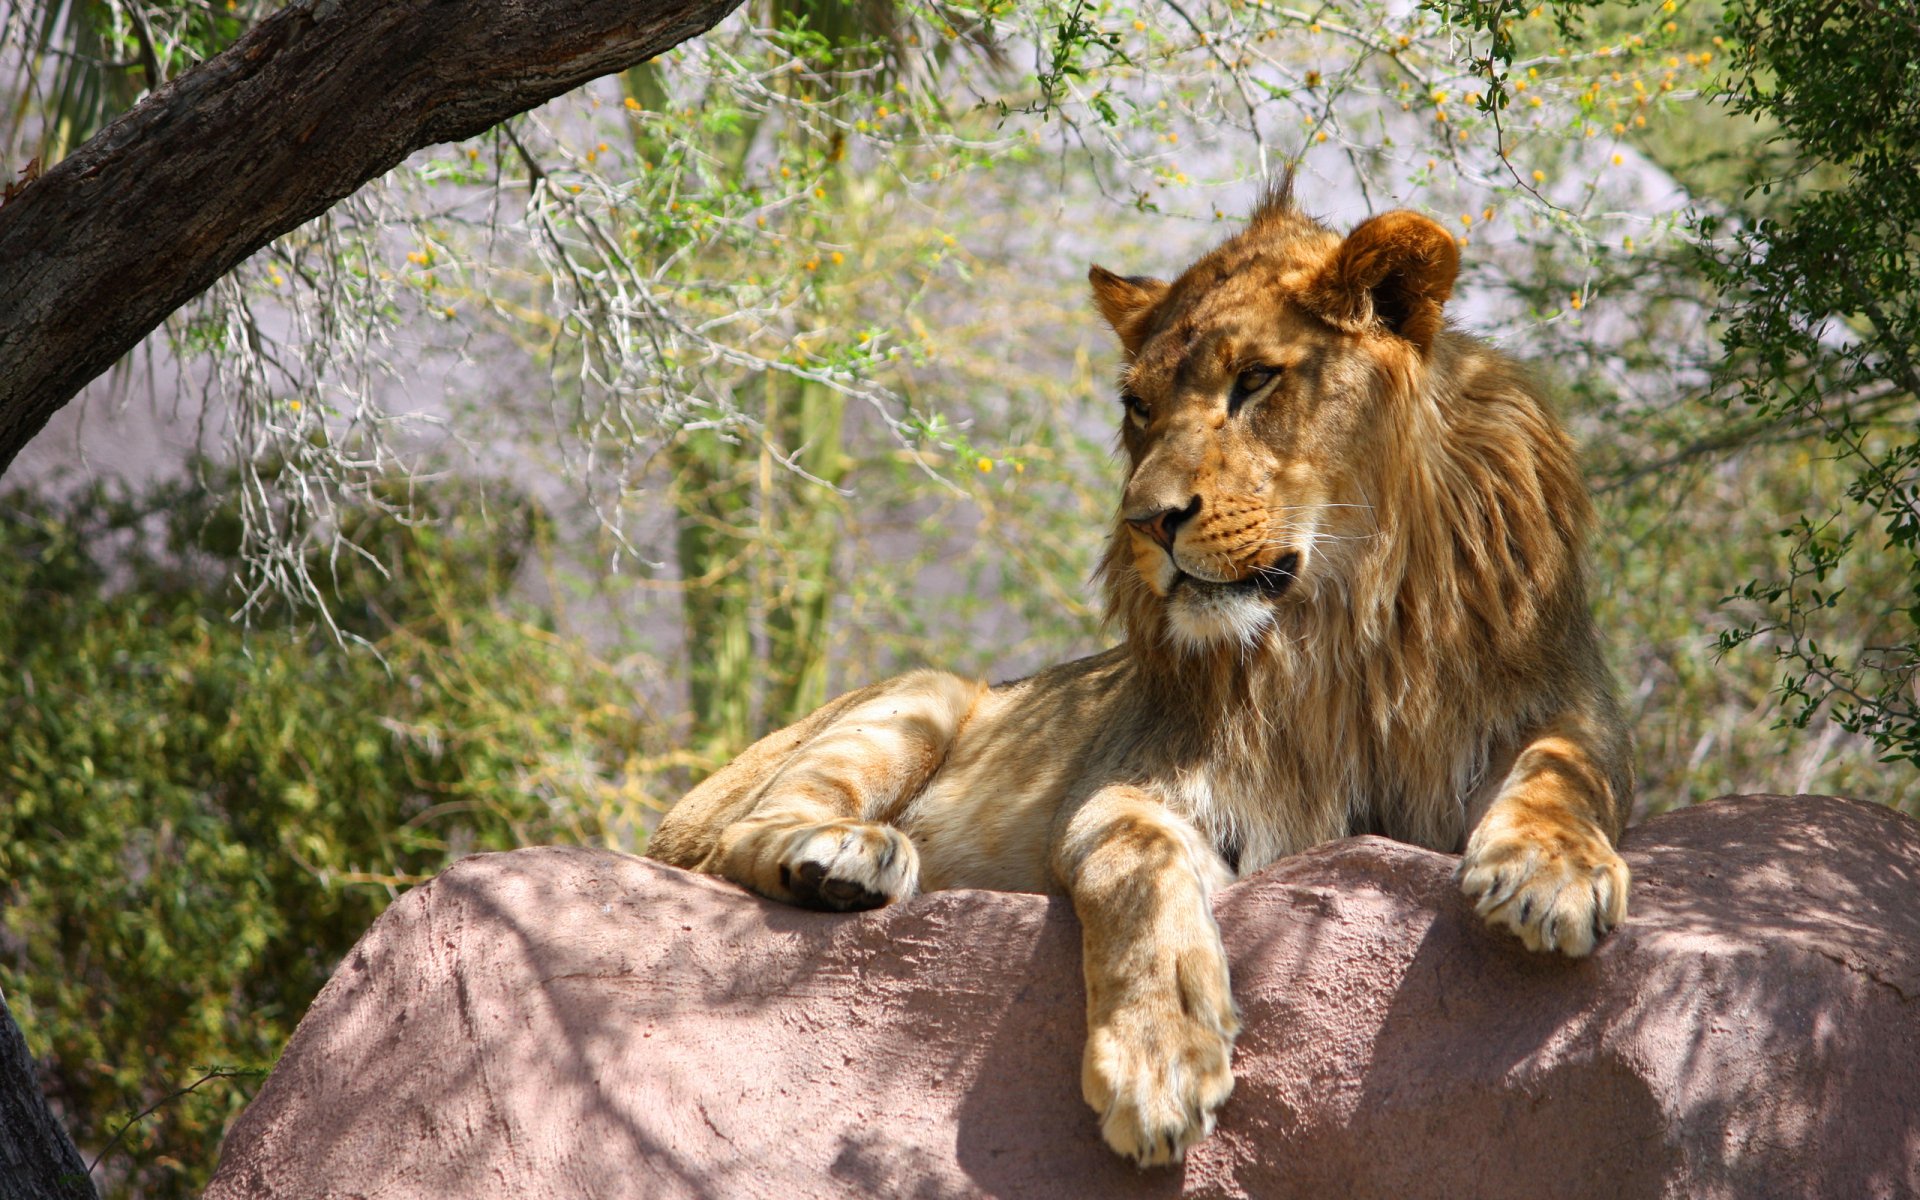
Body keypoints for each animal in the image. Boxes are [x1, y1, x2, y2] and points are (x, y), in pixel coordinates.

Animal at [648, 179, 1634, 1167]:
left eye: (1256, 379)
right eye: (1138, 408)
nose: (1146, 522)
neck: (1343, 626)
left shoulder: (1562, 708)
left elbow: (1565, 767)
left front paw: (1547, 872)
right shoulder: (1143, 783)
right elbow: (1138, 864)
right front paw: (1159, 1059)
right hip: (919, 694)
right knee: (734, 837)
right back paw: (844, 858)